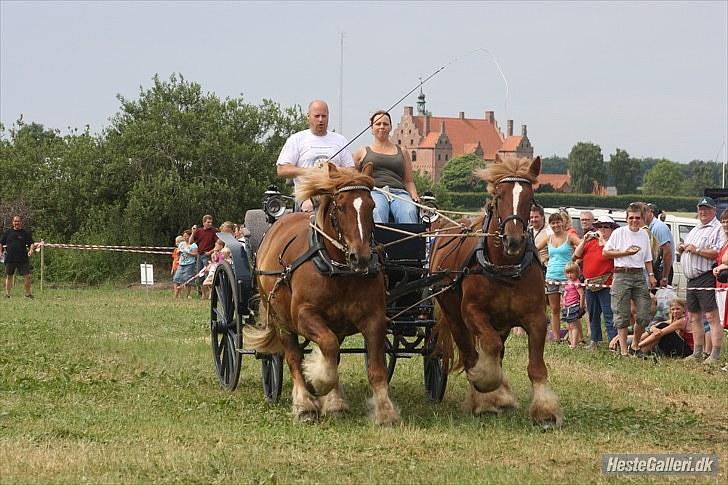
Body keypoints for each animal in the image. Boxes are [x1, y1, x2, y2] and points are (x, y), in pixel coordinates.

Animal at [245, 163, 398, 424]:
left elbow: (375, 369)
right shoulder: (304, 316)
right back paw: (305, 404)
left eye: (371, 206)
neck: (338, 270)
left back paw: (334, 403)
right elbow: (326, 347)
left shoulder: (374, 318)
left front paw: (385, 411)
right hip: (280, 318)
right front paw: (319, 380)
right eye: (341, 205)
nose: (361, 257)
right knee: (293, 356)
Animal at [432, 157, 564, 426]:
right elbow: (488, 348)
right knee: (469, 351)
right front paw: (485, 384)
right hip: (453, 314)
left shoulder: (536, 318)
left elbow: (536, 366)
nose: (513, 241)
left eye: (530, 197)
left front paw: (545, 409)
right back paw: (484, 397)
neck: (505, 267)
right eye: (499, 195)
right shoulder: (472, 312)